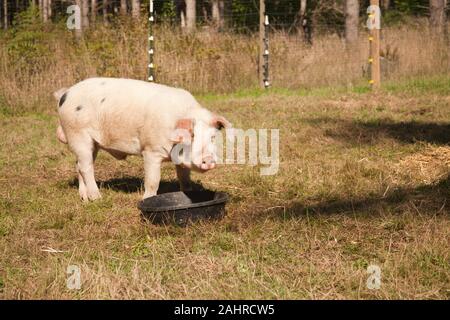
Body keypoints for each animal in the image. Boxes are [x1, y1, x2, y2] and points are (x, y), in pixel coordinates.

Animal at [55, 77, 232, 201]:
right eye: (192, 136)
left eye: (213, 137)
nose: (208, 159)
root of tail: (65, 94)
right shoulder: (151, 151)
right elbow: (153, 181)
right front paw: (147, 199)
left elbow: (185, 179)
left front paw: (190, 193)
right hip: (77, 134)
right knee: (85, 167)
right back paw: (97, 198)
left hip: (92, 143)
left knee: (79, 165)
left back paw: (84, 199)